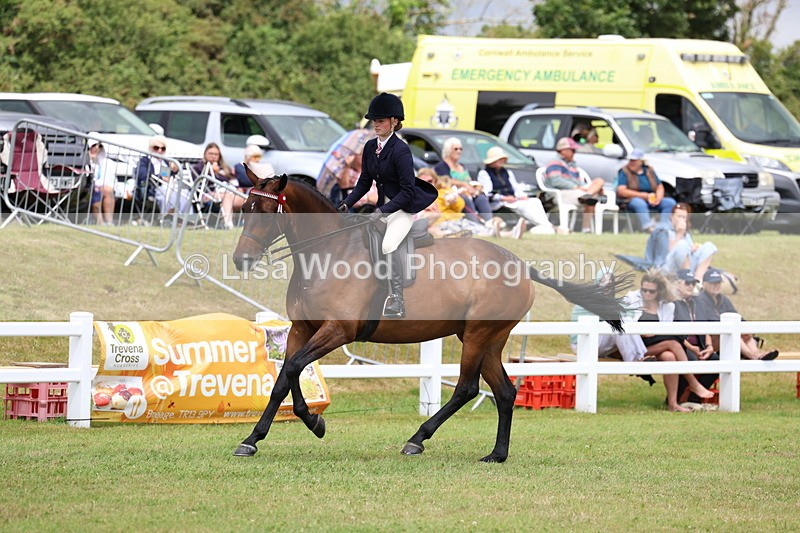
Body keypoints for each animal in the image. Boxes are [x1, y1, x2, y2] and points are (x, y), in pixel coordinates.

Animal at [232, 170, 629, 463]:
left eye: (265, 212)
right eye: (244, 209)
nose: (241, 261)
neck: (327, 251)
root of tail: (520, 265)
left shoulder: (338, 331)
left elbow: (295, 367)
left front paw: (311, 423)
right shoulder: (302, 329)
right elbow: (285, 376)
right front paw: (257, 437)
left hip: (478, 334)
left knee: (467, 388)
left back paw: (418, 439)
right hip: (487, 338)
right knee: (504, 391)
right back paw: (496, 454)